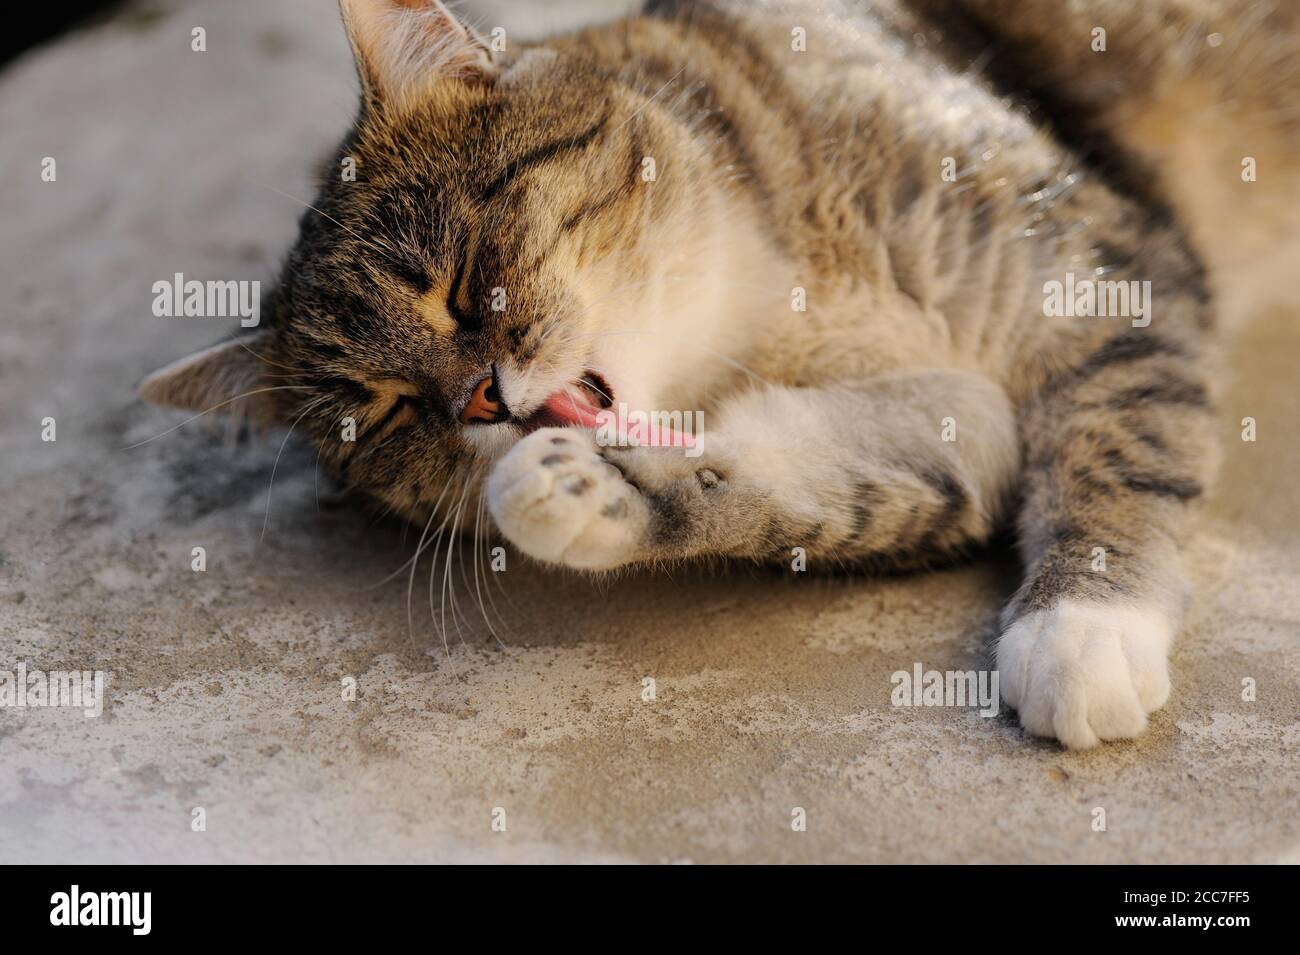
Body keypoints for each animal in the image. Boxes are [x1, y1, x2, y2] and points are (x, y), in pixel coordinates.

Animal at [134, 0, 1300, 748]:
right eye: (381, 415)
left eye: (459, 283)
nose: (481, 399)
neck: (769, 301)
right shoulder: (957, 432)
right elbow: (799, 486)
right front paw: (584, 496)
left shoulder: (1108, 276)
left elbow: (1123, 433)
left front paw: (1084, 626)